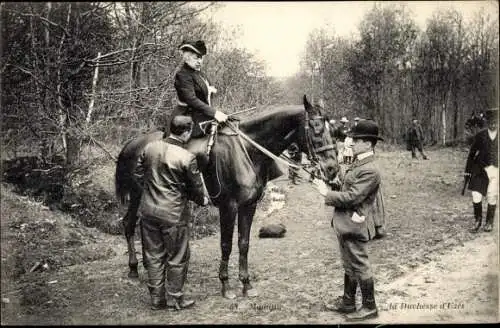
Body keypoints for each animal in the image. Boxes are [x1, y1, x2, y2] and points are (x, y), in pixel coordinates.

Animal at [115, 95, 338, 300]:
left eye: (332, 131)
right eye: (316, 129)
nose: (332, 168)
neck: (247, 151)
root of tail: (133, 143)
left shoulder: (249, 205)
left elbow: (243, 243)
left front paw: (246, 284)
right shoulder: (228, 207)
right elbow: (226, 244)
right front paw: (226, 285)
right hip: (137, 195)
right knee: (129, 224)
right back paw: (133, 269)